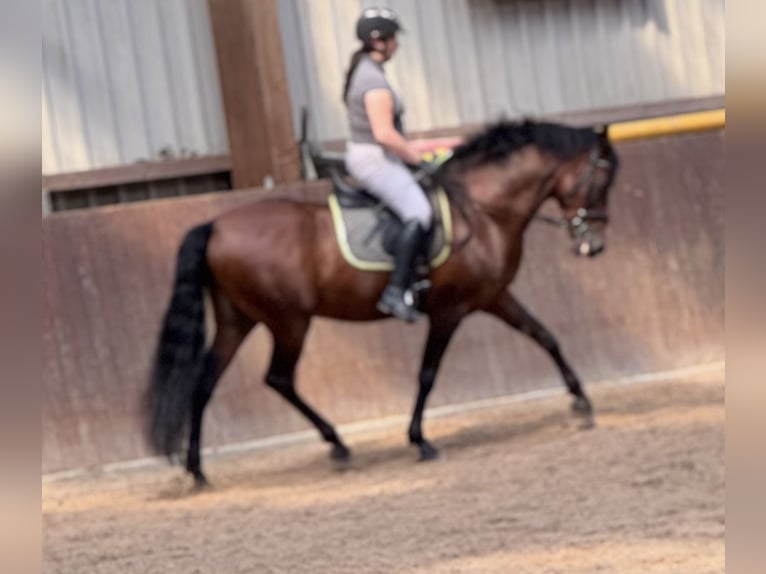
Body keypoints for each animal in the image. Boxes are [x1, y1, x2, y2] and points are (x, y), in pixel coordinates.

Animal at [144, 119, 620, 486]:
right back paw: (335, 444)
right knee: (278, 378)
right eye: (601, 180)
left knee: (205, 383)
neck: (483, 209)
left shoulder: (493, 296)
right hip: (288, 321)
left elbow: (545, 336)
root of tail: (215, 225)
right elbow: (427, 374)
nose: (594, 245)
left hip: (238, 320)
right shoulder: (450, 311)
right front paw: (420, 440)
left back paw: (199, 469)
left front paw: (581, 402)